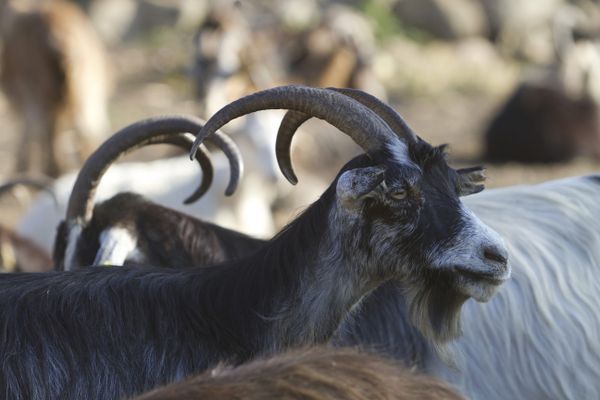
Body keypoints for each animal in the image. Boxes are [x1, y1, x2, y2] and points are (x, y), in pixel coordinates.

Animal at [0, 0, 111, 177]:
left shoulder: (26, 97)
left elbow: (28, 136)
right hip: (88, 95)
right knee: (86, 135)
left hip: (43, 99)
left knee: (49, 142)